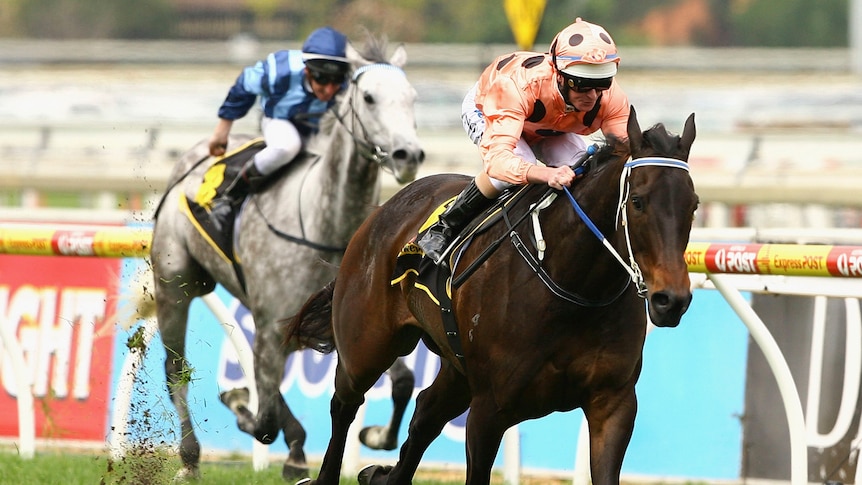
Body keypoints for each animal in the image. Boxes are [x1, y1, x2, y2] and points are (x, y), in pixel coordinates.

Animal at [148, 35, 426, 480]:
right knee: (178, 370)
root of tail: (192, 159)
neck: (324, 225)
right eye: (368, 98)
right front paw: (245, 409)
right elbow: (262, 423)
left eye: (412, 97)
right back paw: (191, 458)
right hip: (175, 285)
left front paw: (375, 435)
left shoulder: (349, 324)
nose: (407, 155)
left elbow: (400, 383)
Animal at [286, 106, 700, 484]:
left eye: (693, 205)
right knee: (344, 405)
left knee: (424, 414)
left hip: (456, 366)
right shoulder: (489, 409)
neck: (574, 290)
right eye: (638, 201)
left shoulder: (612, 404)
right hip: (367, 345)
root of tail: (383, 209)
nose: (671, 300)